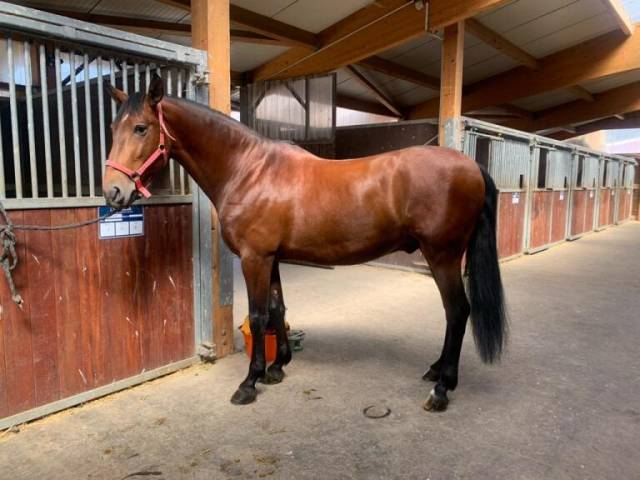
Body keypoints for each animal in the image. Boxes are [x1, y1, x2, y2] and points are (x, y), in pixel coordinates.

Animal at [102, 75, 507, 412]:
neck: (249, 170)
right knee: (453, 314)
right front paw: (278, 367)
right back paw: (435, 371)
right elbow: (277, 310)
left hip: (443, 256)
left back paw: (442, 389)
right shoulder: (271, 258)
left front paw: (249, 383)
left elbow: (257, 315)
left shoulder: (254, 258)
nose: (113, 192)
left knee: (457, 312)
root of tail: (471, 166)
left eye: (140, 128)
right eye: (112, 128)